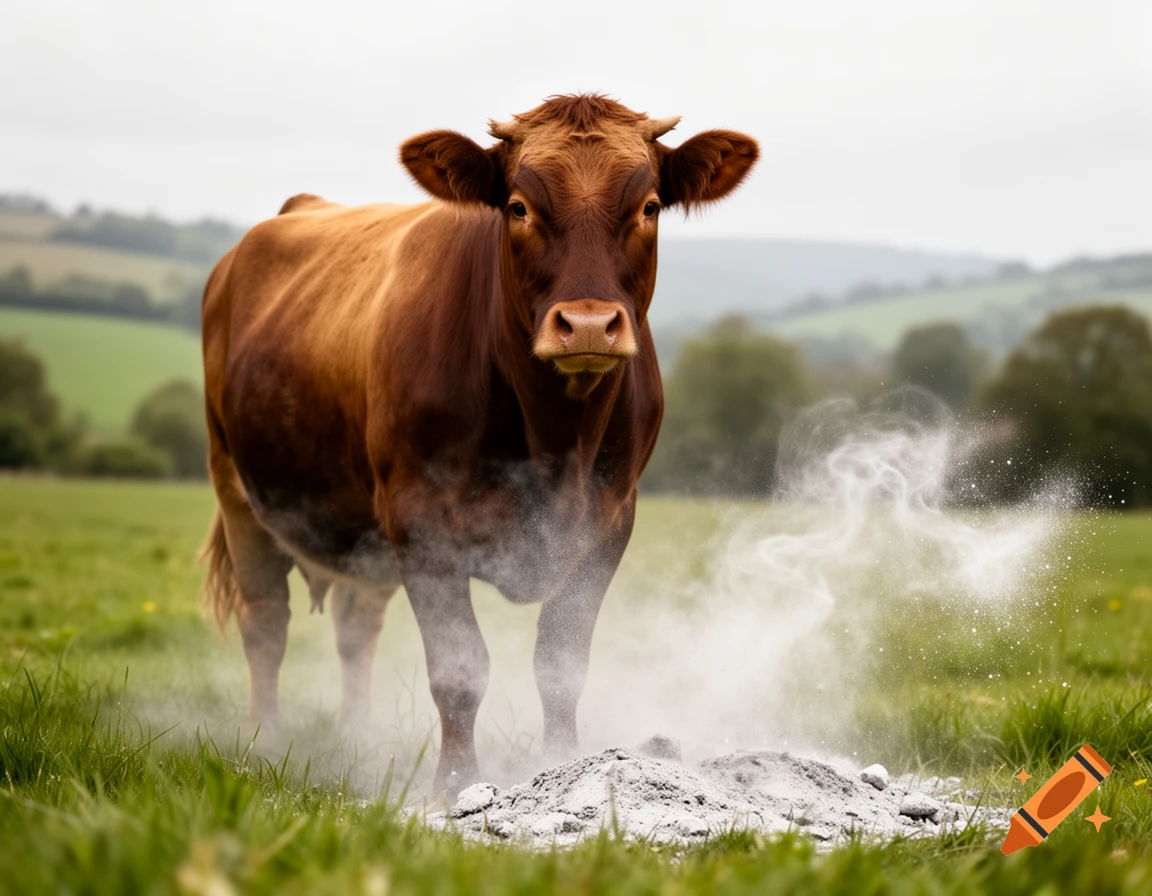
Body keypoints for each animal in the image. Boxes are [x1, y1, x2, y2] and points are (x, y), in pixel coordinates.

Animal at [201, 94, 758, 793]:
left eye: (649, 207)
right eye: (518, 207)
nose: (588, 325)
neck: (556, 439)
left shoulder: (610, 523)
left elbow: (561, 664)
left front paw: (560, 765)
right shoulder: (421, 524)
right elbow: (459, 669)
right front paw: (454, 786)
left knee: (357, 627)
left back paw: (358, 737)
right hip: (237, 488)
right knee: (266, 624)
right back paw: (266, 741)